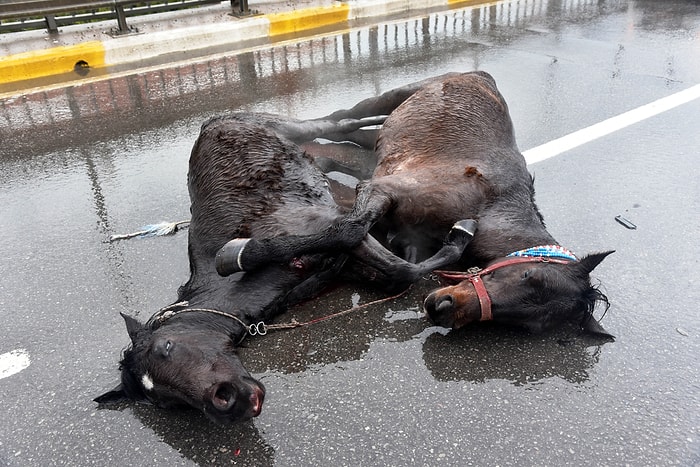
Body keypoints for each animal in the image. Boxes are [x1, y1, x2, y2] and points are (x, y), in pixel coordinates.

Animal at [217, 71, 612, 338]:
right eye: (528, 275)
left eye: (528, 323)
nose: (444, 309)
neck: (492, 207)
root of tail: (479, 74)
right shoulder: (381, 188)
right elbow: (353, 232)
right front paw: (242, 256)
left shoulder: (406, 236)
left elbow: (401, 270)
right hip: (385, 100)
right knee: (339, 119)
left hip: (374, 142)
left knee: (347, 140)